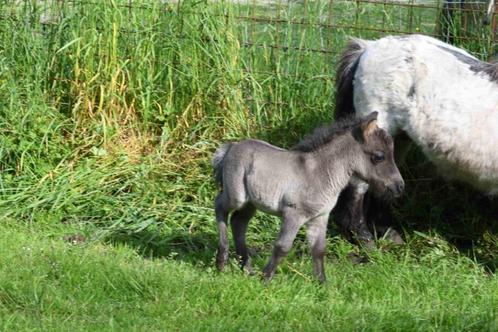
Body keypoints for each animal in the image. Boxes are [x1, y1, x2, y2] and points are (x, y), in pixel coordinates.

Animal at [212, 112, 402, 282]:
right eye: (379, 156)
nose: (399, 186)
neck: (320, 173)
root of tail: (232, 147)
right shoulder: (293, 214)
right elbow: (282, 247)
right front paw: (265, 280)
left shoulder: (320, 217)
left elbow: (318, 250)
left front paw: (322, 284)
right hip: (237, 196)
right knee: (220, 206)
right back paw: (222, 261)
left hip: (251, 203)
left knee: (238, 222)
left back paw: (246, 267)